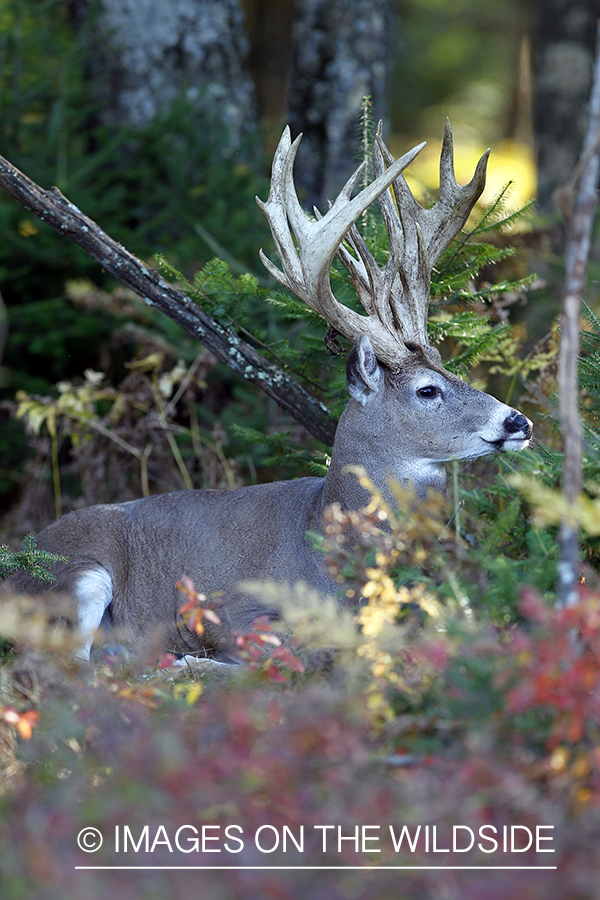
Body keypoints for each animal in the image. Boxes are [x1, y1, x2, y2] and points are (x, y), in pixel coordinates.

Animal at [8, 121, 528, 660]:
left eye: (451, 369)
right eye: (427, 390)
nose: (519, 421)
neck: (329, 545)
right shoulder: (236, 607)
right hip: (76, 572)